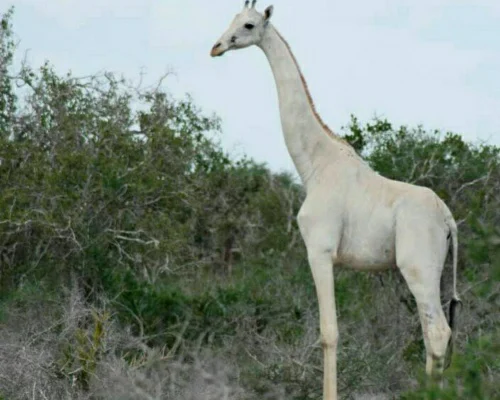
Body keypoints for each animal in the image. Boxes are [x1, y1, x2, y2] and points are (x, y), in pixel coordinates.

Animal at [209, 1, 458, 398]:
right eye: (230, 18)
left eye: (248, 25)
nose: (216, 47)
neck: (314, 163)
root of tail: (449, 219)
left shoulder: (320, 249)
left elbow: (329, 333)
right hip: (432, 270)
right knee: (433, 334)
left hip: (418, 267)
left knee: (436, 332)